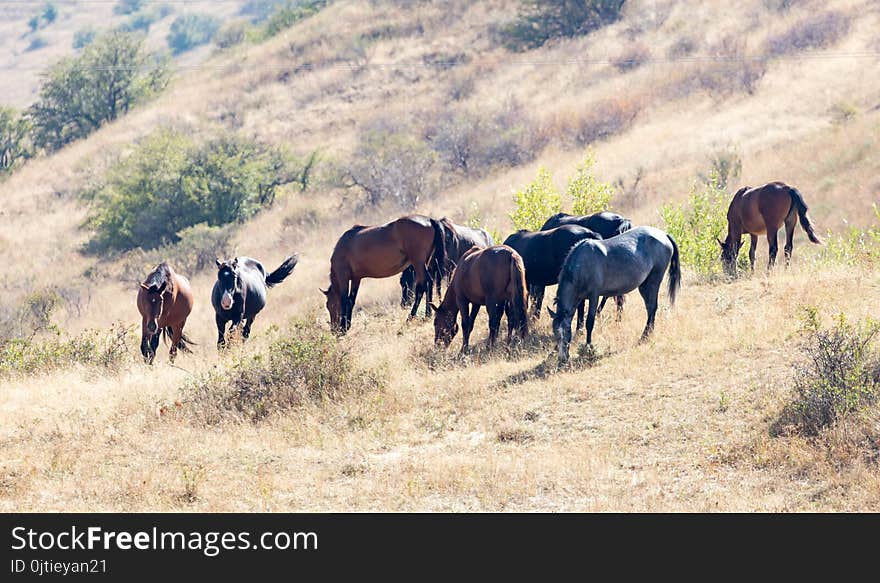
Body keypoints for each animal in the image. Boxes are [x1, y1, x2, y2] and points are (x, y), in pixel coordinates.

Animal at [552, 227, 680, 360]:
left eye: (567, 331)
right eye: (555, 333)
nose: (562, 359)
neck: (582, 265)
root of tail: (663, 234)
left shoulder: (594, 296)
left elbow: (589, 322)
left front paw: (588, 348)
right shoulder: (580, 299)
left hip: (653, 281)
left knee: (653, 307)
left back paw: (644, 336)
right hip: (644, 285)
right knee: (650, 308)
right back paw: (647, 335)